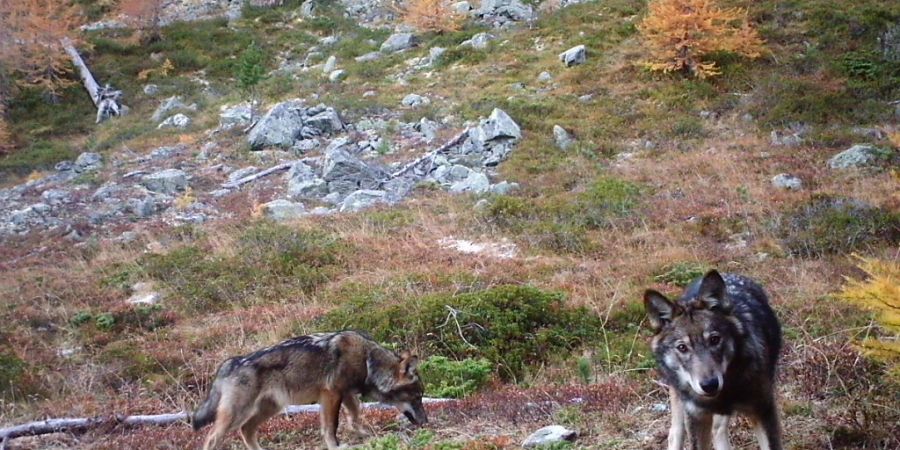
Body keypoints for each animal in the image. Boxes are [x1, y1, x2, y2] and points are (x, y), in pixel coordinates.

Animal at [191, 330, 428, 450]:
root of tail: (230, 363)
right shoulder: (331, 394)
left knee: (246, 431)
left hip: (269, 409)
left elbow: (355, 416)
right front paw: (336, 446)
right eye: (417, 397)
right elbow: (331, 426)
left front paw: (364, 434)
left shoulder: (347, 394)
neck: (367, 360)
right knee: (212, 438)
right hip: (238, 414)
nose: (426, 422)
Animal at [644, 270, 784, 450]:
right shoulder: (696, 417)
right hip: (679, 402)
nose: (709, 385)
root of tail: (729, 273)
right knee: (674, 434)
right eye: (682, 347)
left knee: (718, 431)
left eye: (714, 339)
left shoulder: (763, 410)